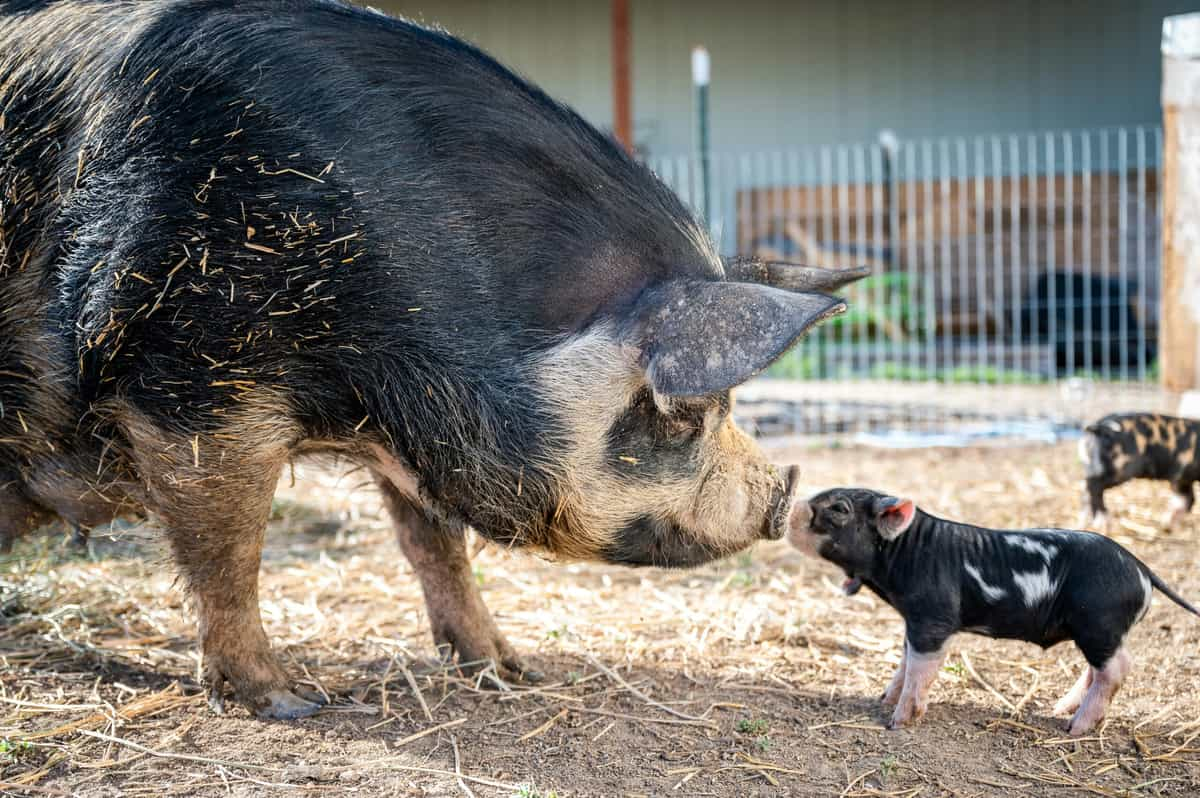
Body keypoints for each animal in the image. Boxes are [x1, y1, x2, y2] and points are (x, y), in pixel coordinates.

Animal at [0, 0, 864, 720]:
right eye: (682, 413)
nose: (782, 493)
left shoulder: (418, 430)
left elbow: (436, 546)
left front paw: (508, 670)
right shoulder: (190, 375)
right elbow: (229, 551)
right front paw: (293, 704)